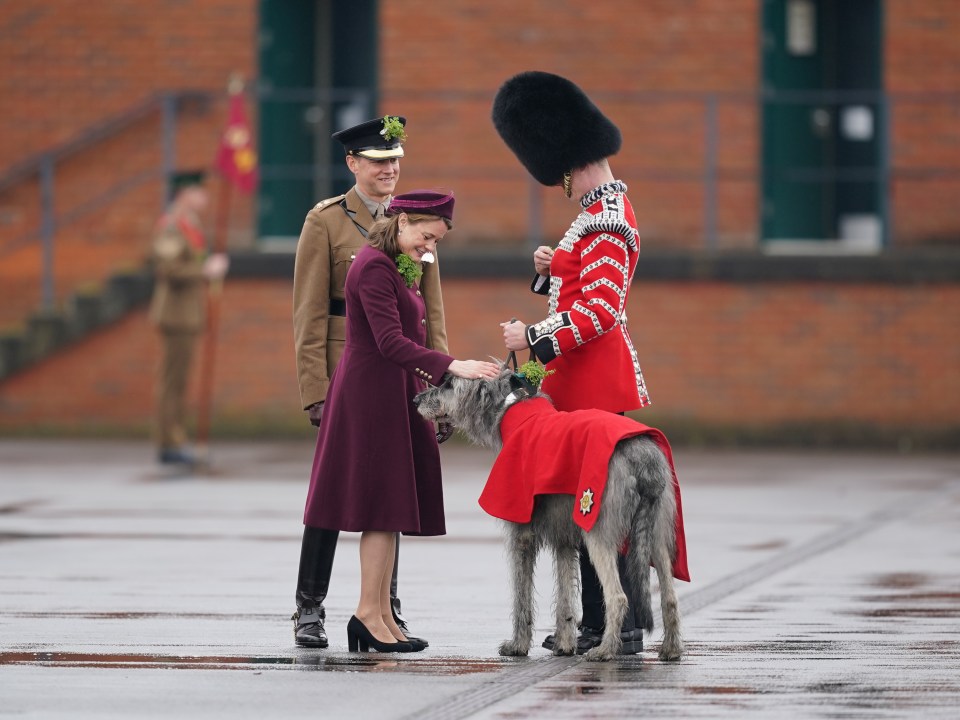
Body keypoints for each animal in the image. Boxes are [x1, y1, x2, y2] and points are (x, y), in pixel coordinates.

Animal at [412, 368, 684, 660]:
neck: (509, 408)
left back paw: (605, 650)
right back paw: (671, 649)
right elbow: (565, 595)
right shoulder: (563, 535)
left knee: (618, 597)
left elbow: (521, 594)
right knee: (669, 595)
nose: (416, 400)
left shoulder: (521, 531)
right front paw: (564, 644)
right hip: (657, 531)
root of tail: (644, 459)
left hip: (598, 528)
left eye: (449, 383)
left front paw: (517, 645)